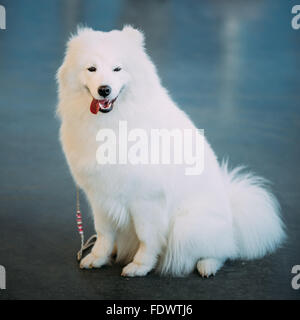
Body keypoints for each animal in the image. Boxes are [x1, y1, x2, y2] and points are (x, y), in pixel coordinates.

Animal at [56, 26, 286, 276]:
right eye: (92, 69)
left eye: (117, 68)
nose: (104, 90)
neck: (111, 123)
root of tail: (232, 215)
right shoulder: (100, 196)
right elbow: (104, 233)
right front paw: (97, 258)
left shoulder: (147, 199)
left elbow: (147, 237)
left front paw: (140, 266)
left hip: (188, 227)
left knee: (224, 250)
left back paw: (207, 265)